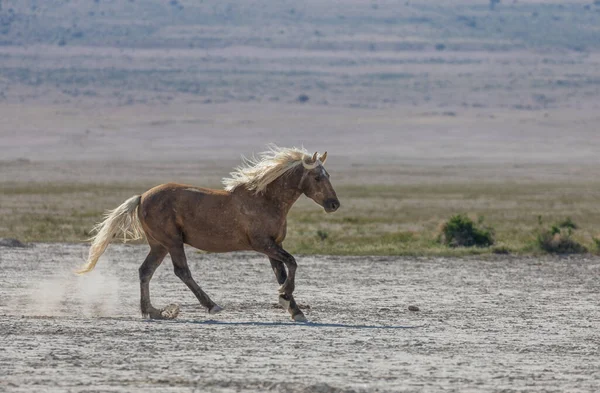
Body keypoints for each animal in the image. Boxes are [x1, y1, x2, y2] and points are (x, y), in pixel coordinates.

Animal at [77, 147, 340, 322]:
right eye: (317, 177)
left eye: (329, 176)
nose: (334, 204)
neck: (265, 200)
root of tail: (142, 197)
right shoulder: (263, 244)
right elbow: (292, 264)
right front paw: (285, 297)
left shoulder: (273, 246)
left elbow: (282, 273)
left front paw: (294, 308)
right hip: (173, 241)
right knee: (181, 271)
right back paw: (211, 305)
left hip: (159, 245)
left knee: (145, 271)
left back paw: (152, 311)